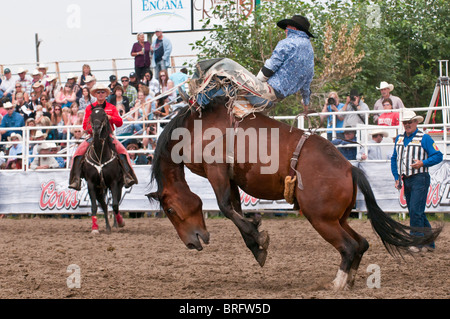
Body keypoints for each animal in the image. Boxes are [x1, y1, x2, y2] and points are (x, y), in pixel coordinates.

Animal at [83, 107, 125, 235]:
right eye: (92, 115)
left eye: (104, 115)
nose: (96, 128)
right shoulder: (91, 184)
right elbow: (94, 207)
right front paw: (94, 228)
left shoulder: (114, 182)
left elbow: (115, 205)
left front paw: (120, 222)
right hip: (100, 190)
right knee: (105, 206)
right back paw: (107, 227)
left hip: (118, 186)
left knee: (115, 204)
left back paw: (115, 224)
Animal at [147, 100, 440, 292]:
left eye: (170, 210)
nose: (191, 243)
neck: (193, 127)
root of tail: (349, 168)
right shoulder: (230, 177)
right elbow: (235, 208)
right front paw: (256, 242)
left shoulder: (216, 169)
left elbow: (225, 207)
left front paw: (258, 238)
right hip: (338, 219)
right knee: (362, 243)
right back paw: (350, 281)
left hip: (320, 219)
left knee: (349, 246)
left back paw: (336, 284)